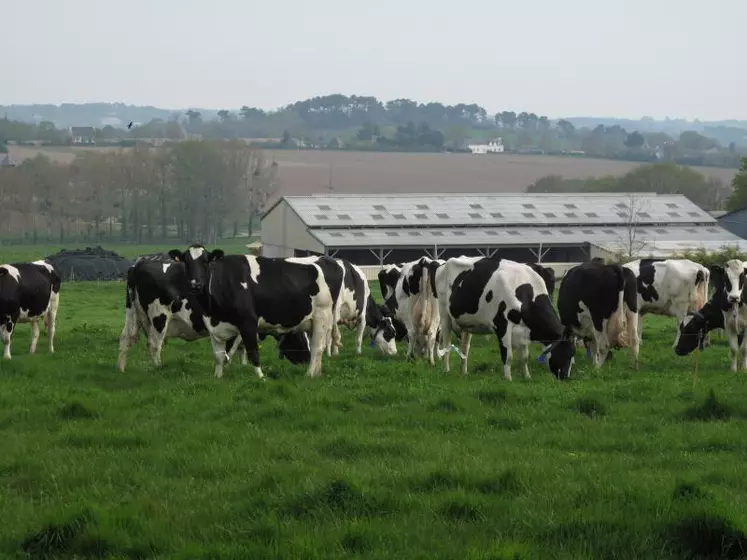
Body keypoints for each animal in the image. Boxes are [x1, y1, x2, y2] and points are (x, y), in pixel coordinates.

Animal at [117, 258, 310, 372]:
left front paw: (241, 366)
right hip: (159, 317)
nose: (308, 360)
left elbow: (241, 349)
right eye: (301, 340)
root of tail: (139, 264)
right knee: (154, 344)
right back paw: (159, 367)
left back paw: (121, 368)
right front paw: (227, 366)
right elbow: (233, 348)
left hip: (133, 315)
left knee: (125, 339)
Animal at [169, 244, 336, 378]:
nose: (195, 284)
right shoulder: (214, 328)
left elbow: (252, 352)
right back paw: (316, 373)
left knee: (317, 348)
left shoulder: (247, 322)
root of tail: (320, 260)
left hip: (322, 316)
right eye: (186, 262)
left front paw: (261, 377)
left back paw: (310, 374)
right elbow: (219, 356)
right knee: (317, 348)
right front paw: (218, 377)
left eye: (205, 262)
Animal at [436, 258, 576, 380]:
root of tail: (444, 263)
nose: (566, 377)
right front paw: (508, 378)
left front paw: (527, 377)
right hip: (444, 315)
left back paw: (464, 372)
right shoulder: (502, 325)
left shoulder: (524, 330)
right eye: (568, 353)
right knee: (446, 344)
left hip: (467, 323)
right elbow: (508, 356)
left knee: (465, 347)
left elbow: (524, 357)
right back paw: (446, 370)